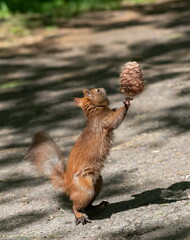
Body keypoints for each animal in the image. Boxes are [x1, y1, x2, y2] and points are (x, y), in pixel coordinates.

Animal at [24, 87, 131, 225]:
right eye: (97, 90)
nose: (103, 88)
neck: (94, 111)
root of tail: (67, 184)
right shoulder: (104, 120)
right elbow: (116, 119)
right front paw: (126, 103)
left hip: (97, 183)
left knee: (87, 205)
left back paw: (97, 206)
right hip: (85, 190)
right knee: (75, 206)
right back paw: (80, 216)